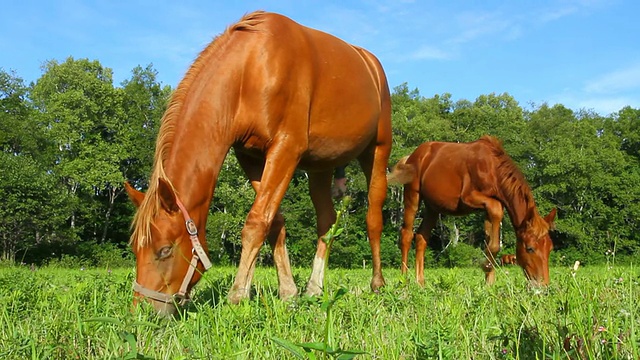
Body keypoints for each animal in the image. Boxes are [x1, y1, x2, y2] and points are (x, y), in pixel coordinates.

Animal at [123, 11, 392, 316]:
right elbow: (273, 221)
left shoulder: (286, 148)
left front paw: (237, 295)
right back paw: (314, 288)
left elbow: (255, 222)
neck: (251, 69)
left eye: (165, 250)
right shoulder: (250, 156)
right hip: (320, 167)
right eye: (135, 249)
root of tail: (370, 63)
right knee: (327, 220)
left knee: (374, 217)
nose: (141, 312)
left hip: (377, 152)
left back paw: (377, 284)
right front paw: (288, 293)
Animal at [388, 135, 556, 286]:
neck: (493, 168)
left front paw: (489, 283)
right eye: (530, 248)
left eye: (550, 248)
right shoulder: (471, 198)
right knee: (406, 235)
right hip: (412, 197)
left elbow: (490, 238)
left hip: (432, 208)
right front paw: (486, 267)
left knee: (421, 237)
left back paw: (420, 282)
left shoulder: (488, 208)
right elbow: (496, 216)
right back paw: (404, 280)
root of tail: (410, 157)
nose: (544, 285)